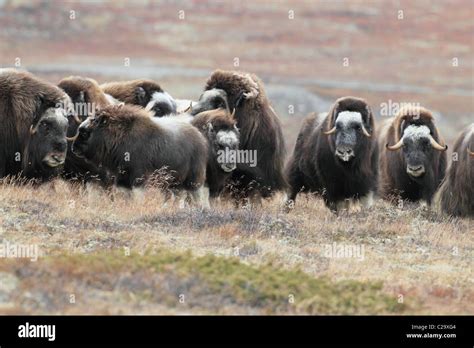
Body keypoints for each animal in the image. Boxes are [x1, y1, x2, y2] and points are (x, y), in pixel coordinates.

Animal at [71, 103, 209, 207]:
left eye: (85, 132)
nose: (73, 148)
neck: (118, 136)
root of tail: (198, 135)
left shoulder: (138, 176)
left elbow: (138, 196)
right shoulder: (122, 178)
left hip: (193, 179)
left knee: (195, 195)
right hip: (173, 183)